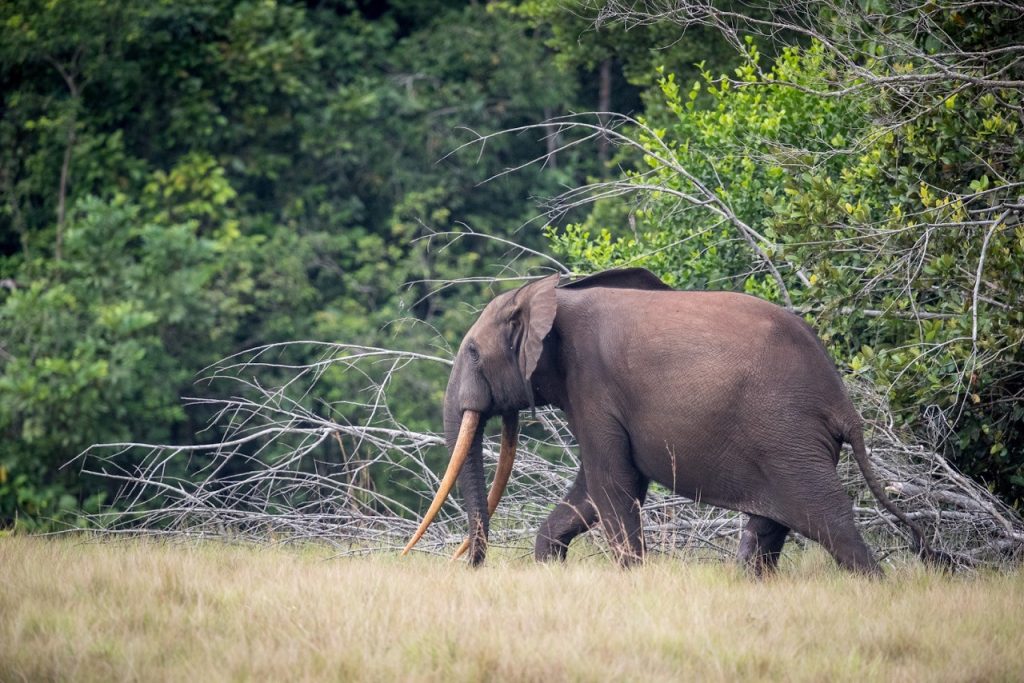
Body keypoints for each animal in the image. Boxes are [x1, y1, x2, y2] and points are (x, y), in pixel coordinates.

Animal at [403, 267, 946, 575]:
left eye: (473, 353)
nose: (473, 566)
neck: (548, 297)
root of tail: (843, 403)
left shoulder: (593, 385)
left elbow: (611, 484)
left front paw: (631, 578)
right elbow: (593, 491)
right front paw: (549, 568)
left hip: (787, 433)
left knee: (829, 521)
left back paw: (874, 585)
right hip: (786, 442)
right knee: (768, 527)